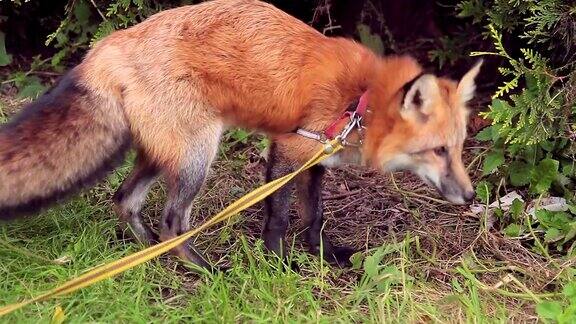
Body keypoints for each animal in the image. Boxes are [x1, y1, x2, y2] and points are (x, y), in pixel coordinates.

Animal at [0, 0, 480, 268]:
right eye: (437, 150)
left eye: (457, 150)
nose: (472, 196)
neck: (358, 100)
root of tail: (107, 46)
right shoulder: (288, 147)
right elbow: (280, 216)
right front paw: (278, 263)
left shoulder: (316, 160)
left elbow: (315, 216)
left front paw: (323, 255)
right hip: (197, 155)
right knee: (172, 221)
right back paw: (205, 271)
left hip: (164, 154)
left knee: (125, 200)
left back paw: (149, 254)